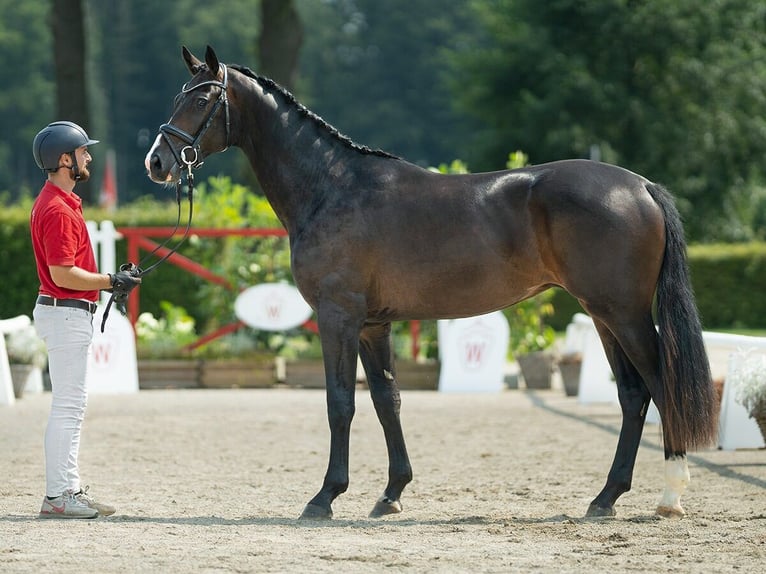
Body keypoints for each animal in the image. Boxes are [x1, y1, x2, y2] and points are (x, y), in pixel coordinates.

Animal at [146, 46, 720, 520]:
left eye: (202, 99)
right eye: (178, 96)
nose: (157, 161)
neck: (332, 187)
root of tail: (640, 185)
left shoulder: (338, 316)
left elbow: (340, 402)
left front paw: (325, 497)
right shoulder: (372, 325)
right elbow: (387, 400)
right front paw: (391, 494)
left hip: (624, 314)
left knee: (659, 385)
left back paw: (670, 495)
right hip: (603, 315)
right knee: (632, 395)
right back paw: (605, 498)